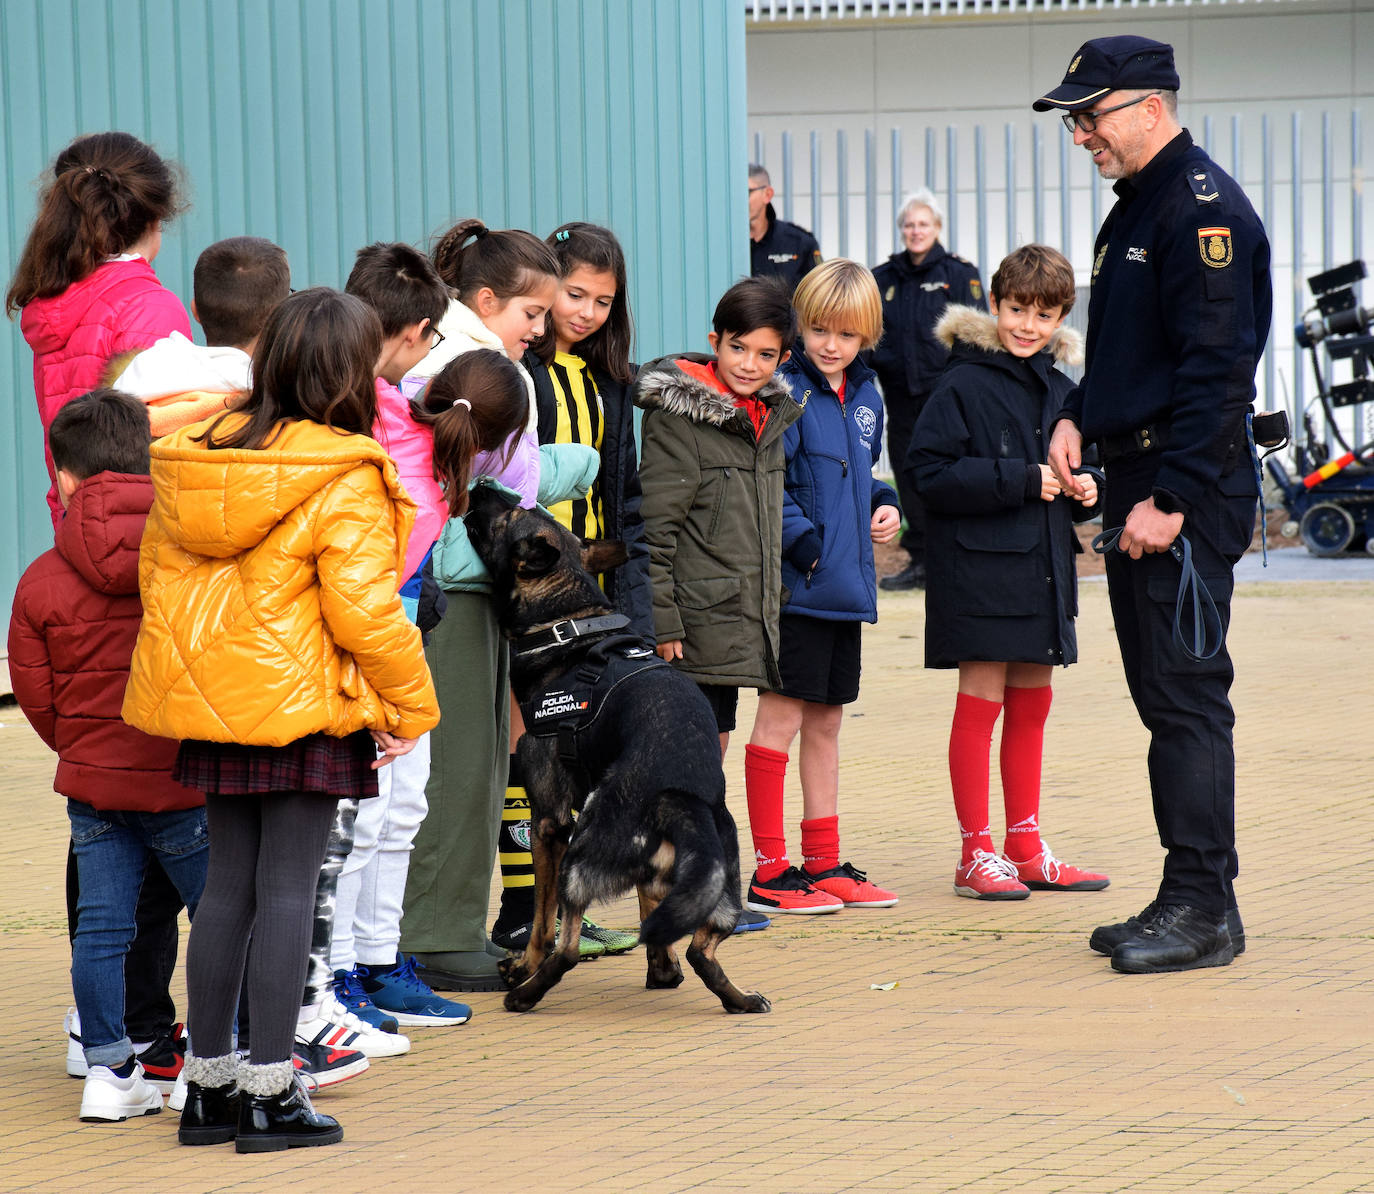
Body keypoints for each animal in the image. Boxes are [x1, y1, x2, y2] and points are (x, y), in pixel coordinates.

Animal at [464, 483, 774, 1016]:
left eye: (510, 516)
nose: (482, 484)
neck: (568, 622)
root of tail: (678, 795)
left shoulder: (549, 825)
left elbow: (541, 921)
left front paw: (523, 966)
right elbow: (655, 913)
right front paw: (662, 968)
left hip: (580, 853)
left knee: (567, 947)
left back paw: (526, 994)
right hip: (720, 885)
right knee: (700, 949)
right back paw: (731, 996)